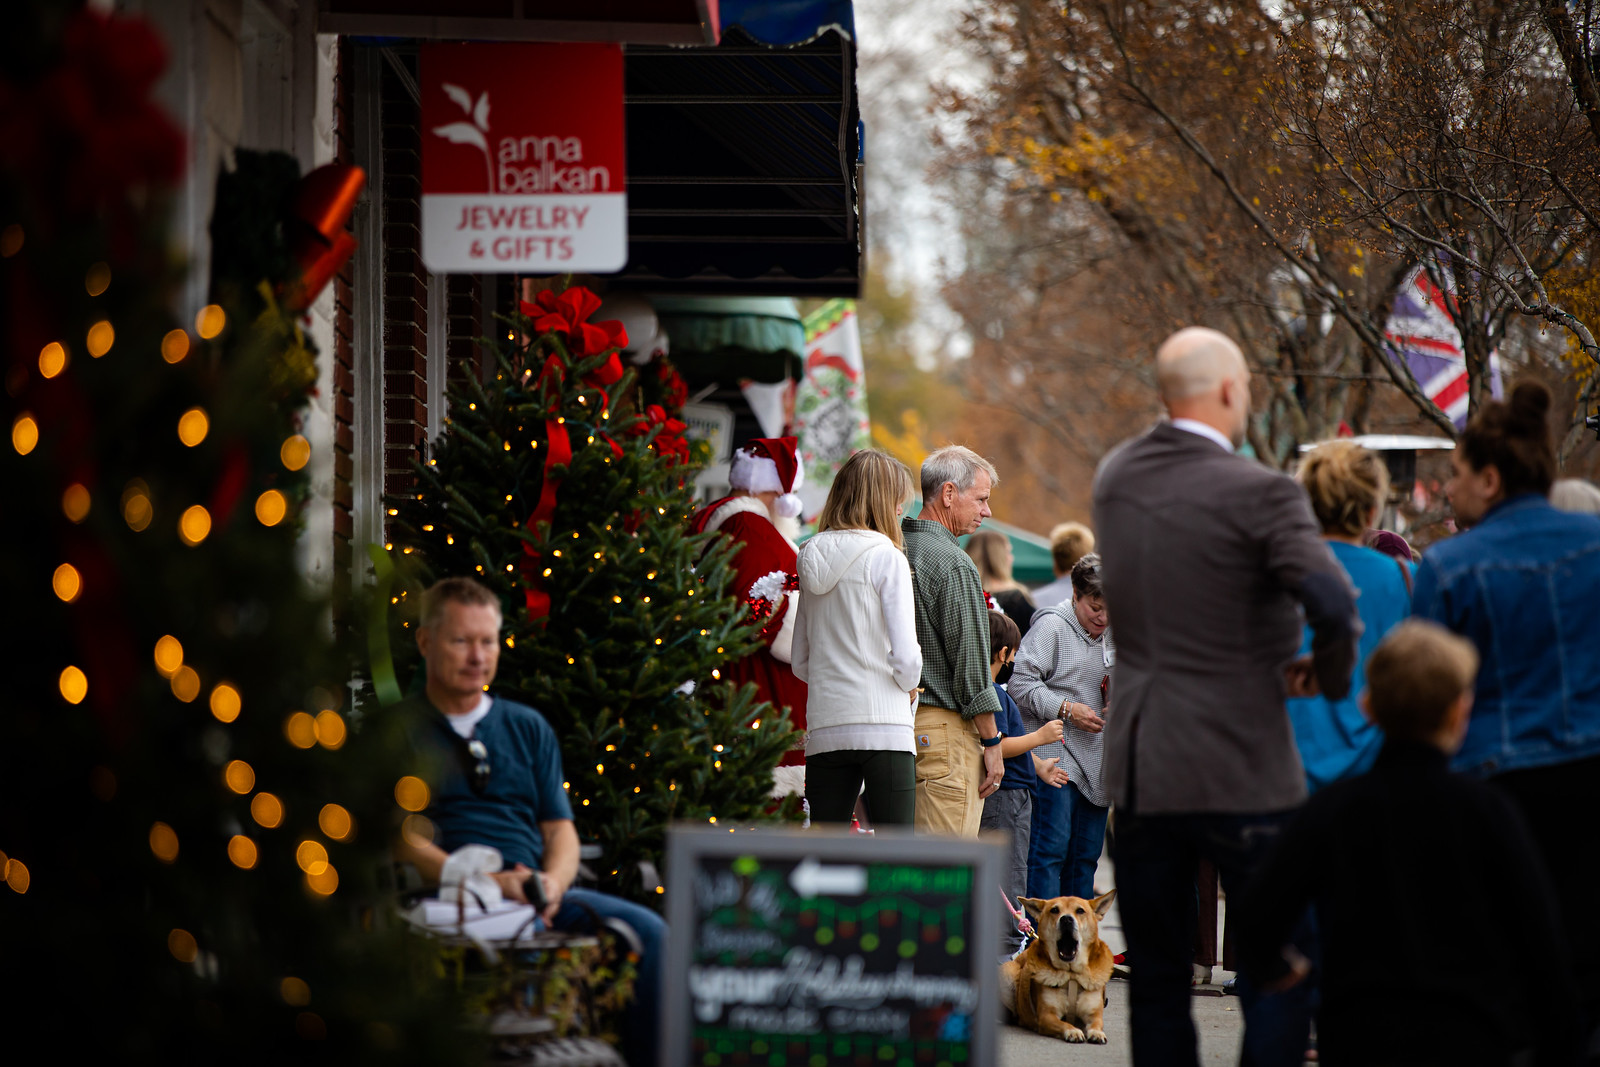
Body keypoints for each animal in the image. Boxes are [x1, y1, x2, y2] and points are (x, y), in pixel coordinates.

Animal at [998, 895, 1113, 1043]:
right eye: (1054, 910)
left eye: (1080, 911)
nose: (1066, 919)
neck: (1071, 975)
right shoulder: (1047, 1016)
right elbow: (1063, 1024)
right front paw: (1073, 1031)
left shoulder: (1094, 1013)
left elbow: (1097, 1023)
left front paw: (1097, 1033)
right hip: (1006, 972)